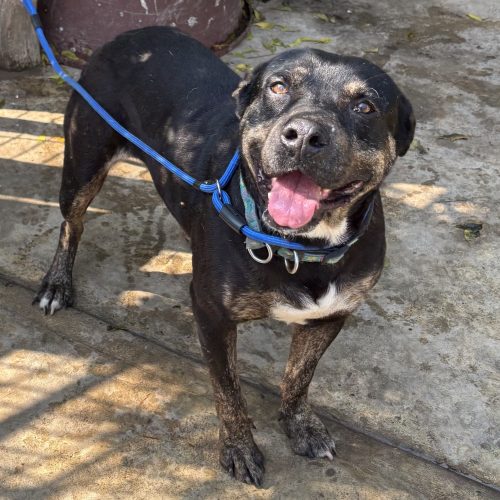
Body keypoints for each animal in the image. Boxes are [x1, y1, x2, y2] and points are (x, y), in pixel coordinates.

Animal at [34, 26, 415, 486]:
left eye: (365, 106)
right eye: (278, 86)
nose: (304, 135)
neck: (298, 245)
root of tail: (130, 34)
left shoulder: (331, 316)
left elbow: (299, 375)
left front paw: (300, 424)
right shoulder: (212, 316)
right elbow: (228, 389)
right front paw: (239, 448)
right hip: (82, 164)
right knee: (71, 223)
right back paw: (57, 283)